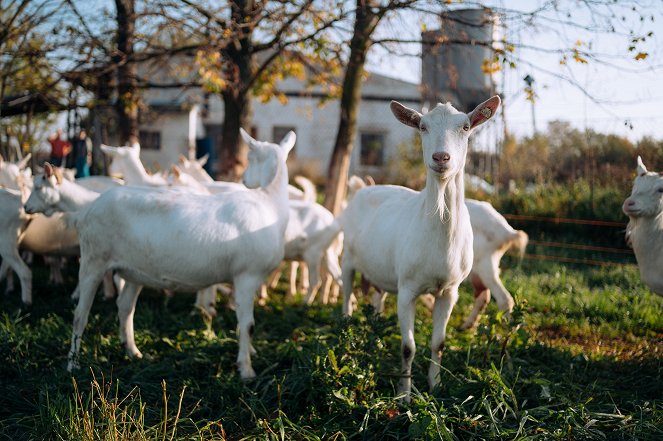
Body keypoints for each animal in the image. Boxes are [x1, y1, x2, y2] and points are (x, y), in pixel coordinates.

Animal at [68, 128, 296, 378]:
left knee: (125, 307)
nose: (245, 180)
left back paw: (133, 352)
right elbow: (248, 324)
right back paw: (73, 365)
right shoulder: (247, 275)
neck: (269, 202)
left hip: (133, 270)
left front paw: (249, 354)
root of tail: (85, 212)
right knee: (80, 315)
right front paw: (247, 371)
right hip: (93, 260)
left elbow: (242, 322)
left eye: (251, 158)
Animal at [340, 96, 500, 398]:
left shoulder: (450, 291)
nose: (441, 158)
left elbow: (439, 343)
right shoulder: (408, 289)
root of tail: (360, 189)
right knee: (346, 294)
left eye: (465, 127)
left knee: (378, 293)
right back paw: (344, 325)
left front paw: (435, 385)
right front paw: (404, 393)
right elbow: (407, 347)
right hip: (347, 258)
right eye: (422, 126)